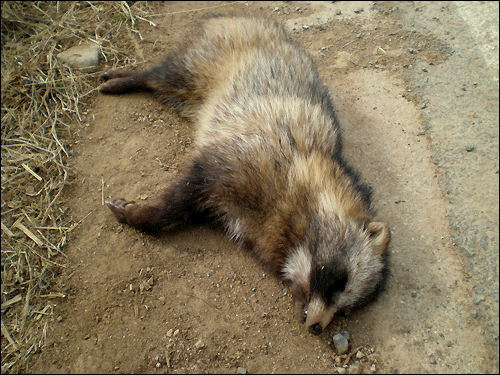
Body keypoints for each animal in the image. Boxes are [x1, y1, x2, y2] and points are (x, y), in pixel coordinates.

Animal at [99, 17, 390, 336]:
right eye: (340, 280)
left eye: (347, 308)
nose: (317, 328)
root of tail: (251, 20)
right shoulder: (239, 163)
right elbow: (177, 198)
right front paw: (140, 214)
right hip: (201, 64)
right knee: (160, 75)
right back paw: (125, 78)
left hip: (190, 97)